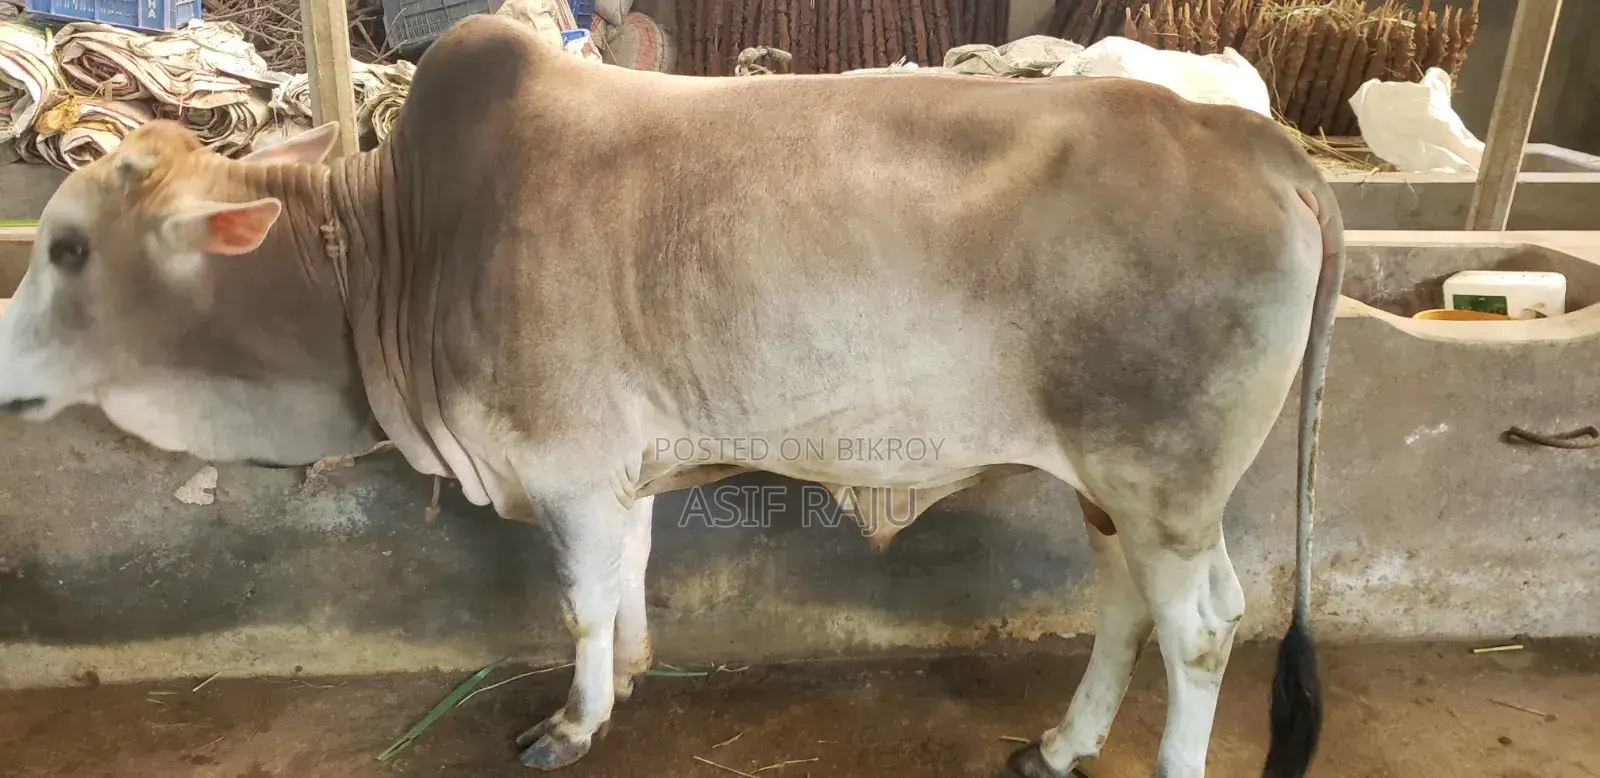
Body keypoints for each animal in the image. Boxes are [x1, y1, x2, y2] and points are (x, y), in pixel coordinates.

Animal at [0, 14, 1343, 778]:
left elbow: (581, 604)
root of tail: (1260, 141)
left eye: (66, 249)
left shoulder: (565, 466)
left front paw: (572, 723)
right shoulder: (622, 468)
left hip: (1163, 479)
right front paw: (636, 677)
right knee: (1135, 607)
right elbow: (631, 577)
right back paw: (1058, 747)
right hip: (1118, 484)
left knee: (1201, 630)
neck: (396, 242)